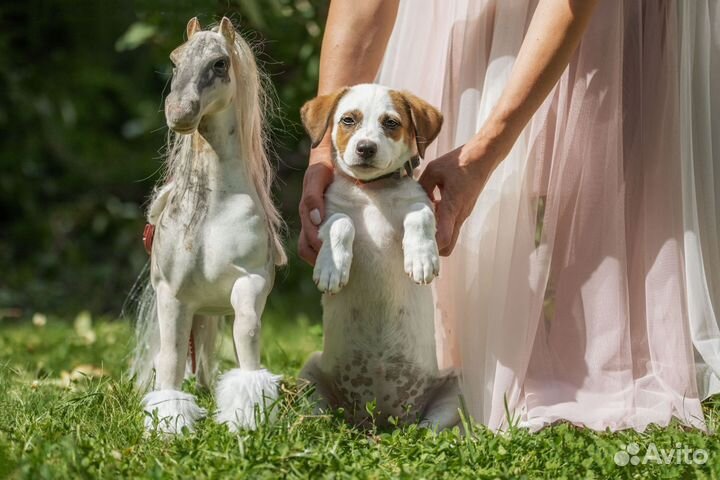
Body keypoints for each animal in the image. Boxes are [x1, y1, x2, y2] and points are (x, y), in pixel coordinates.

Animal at [300, 84, 462, 430]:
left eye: (391, 123)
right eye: (349, 120)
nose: (365, 148)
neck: (372, 192)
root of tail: (379, 418)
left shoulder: (421, 205)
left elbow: (419, 216)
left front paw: (421, 258)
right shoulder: (323, 219)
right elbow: (342, 223)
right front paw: (333, 268)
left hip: (452, 386)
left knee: (431, 428)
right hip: (310, 374)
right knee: (321, 416)